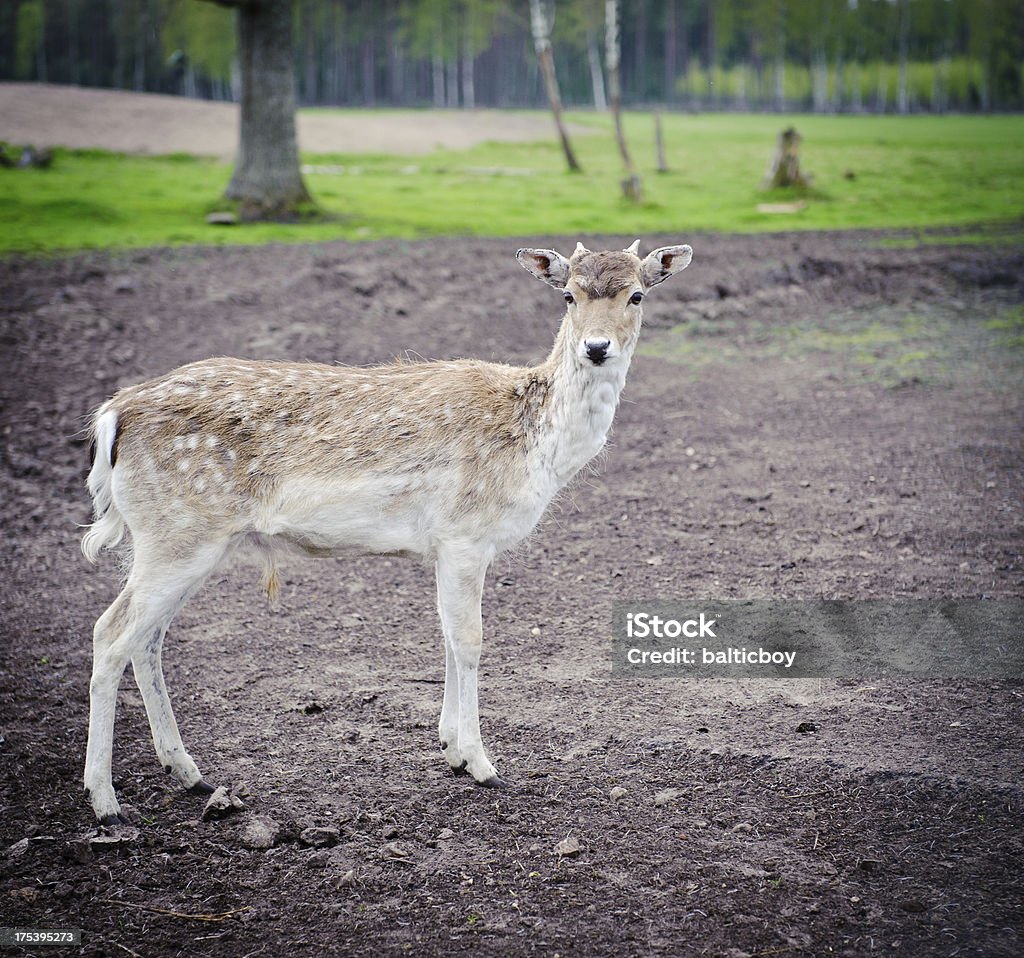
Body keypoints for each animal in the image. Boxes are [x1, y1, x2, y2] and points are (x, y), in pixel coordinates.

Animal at [79, 239, 688, 822]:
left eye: (636, 295)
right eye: (568, 295)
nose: (596, 347)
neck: (537, 447)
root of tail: (111, 417)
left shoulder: (445, 545)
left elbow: (446, 635)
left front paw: (450, 748)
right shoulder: (466, 534)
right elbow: (470, 640)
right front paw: (483, 764)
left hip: (176, 540)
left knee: (147, 639)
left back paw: (189, 774)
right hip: (177, 534)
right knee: (110, 634)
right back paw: (106, 802)